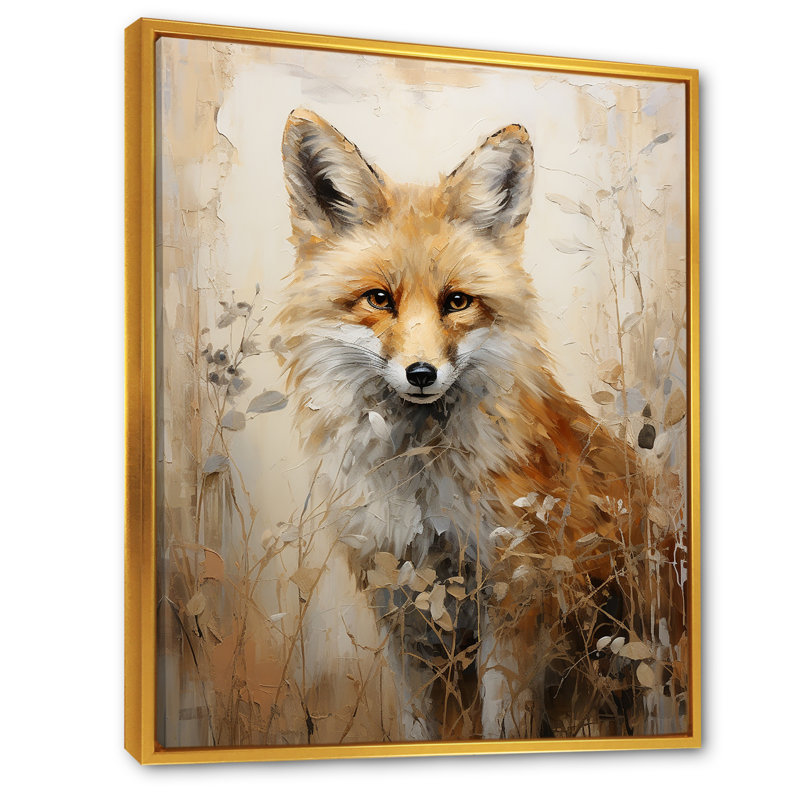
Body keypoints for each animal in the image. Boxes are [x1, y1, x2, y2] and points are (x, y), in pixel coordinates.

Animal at [277, 109, 684, 741]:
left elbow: (504, 724)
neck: (421, 485)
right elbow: (416, 724)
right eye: (379, 299)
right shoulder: (400, 606)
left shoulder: (513, 598)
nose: (422, 373)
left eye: (458, 302)